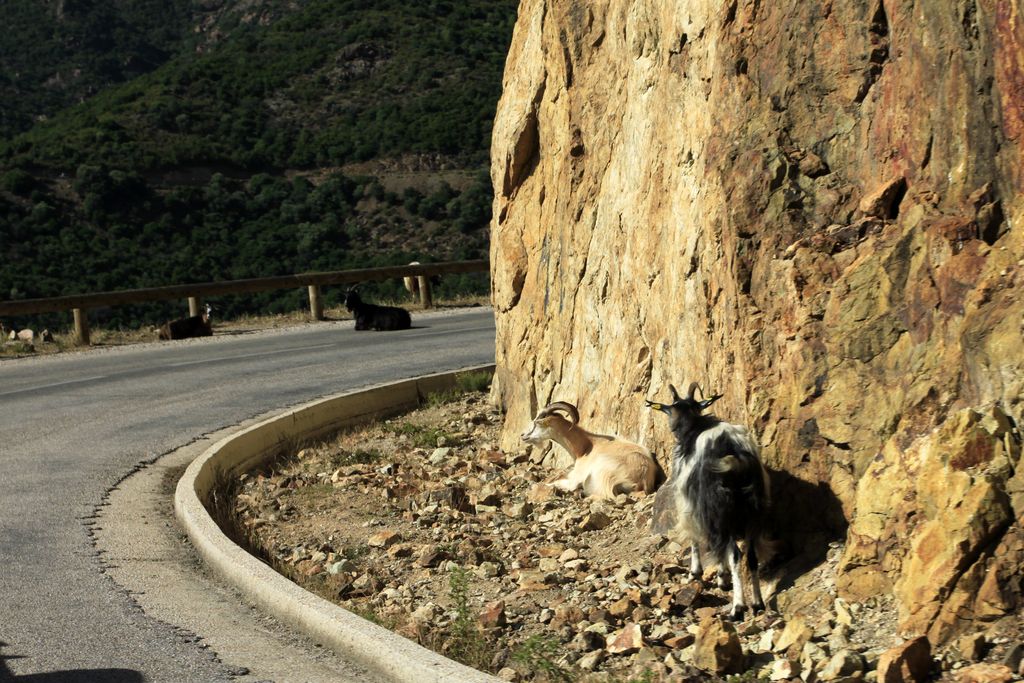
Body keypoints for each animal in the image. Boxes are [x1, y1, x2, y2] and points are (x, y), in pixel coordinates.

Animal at [647, 385, 770, 618]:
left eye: (670, 408)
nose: (672, 426)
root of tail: (737, 458)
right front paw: (721, 577)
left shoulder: (690, 502)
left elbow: (695, 538)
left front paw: (697, 573)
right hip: (752, 515)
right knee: (750, 557)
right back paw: (758, 604)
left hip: (720, 512)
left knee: (734, 554)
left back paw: (737, 607)